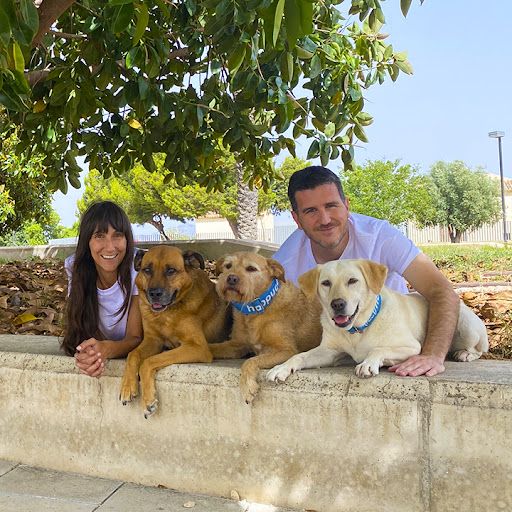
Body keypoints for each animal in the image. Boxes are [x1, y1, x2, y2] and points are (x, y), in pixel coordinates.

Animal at [119, 246, 231, 418]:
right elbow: (132, 355)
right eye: (147, 270)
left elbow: (148, 362)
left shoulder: (198, 348)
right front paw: (127, 387)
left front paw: (148, 399)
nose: (154, 293)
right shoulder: (152, 340)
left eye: (171, 270)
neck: (166, 314)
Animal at [208, 252, 320, 404]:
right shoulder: (236, 345)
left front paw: (247, 385)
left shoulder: (286, 351)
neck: (255, 309)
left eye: (251, 268)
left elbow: (250, 361)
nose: (231, 278)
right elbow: (211, 347)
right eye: (228, 266)